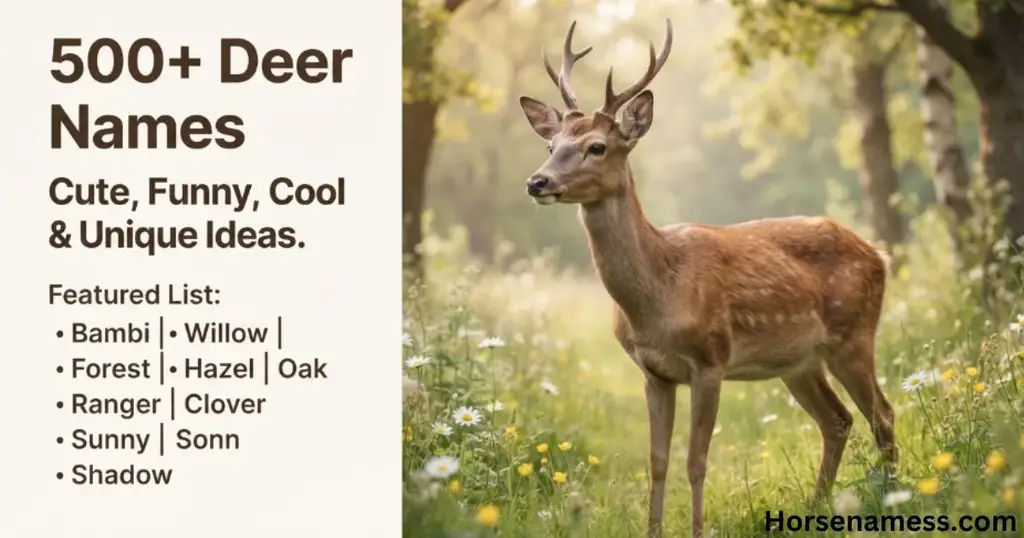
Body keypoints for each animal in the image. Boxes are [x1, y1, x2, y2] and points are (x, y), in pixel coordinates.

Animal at [516, 19, 898, 538]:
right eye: (551, 146)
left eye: (596, 146)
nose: (537, 182)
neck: (660, 294)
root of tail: (879, 254)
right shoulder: (654, 373)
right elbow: (657, 461)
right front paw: (652, 530)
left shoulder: (711, 360)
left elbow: (696, 461)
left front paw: (697, 529)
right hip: (800, 361)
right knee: (837, 420)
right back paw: (818, 506)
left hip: (854, 334)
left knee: (883, 414)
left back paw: (893, 500)